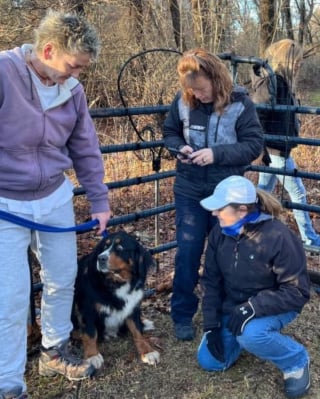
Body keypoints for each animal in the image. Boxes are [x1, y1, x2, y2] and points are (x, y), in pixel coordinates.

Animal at [71, 231, 159, 372]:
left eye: (120, 248)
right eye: (104, 247)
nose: (100, 258)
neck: (116, 281)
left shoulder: (132, 305)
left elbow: (137, 330)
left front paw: (147, 351)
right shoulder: (87, 309)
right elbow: (90, 333)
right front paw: (92, 355)